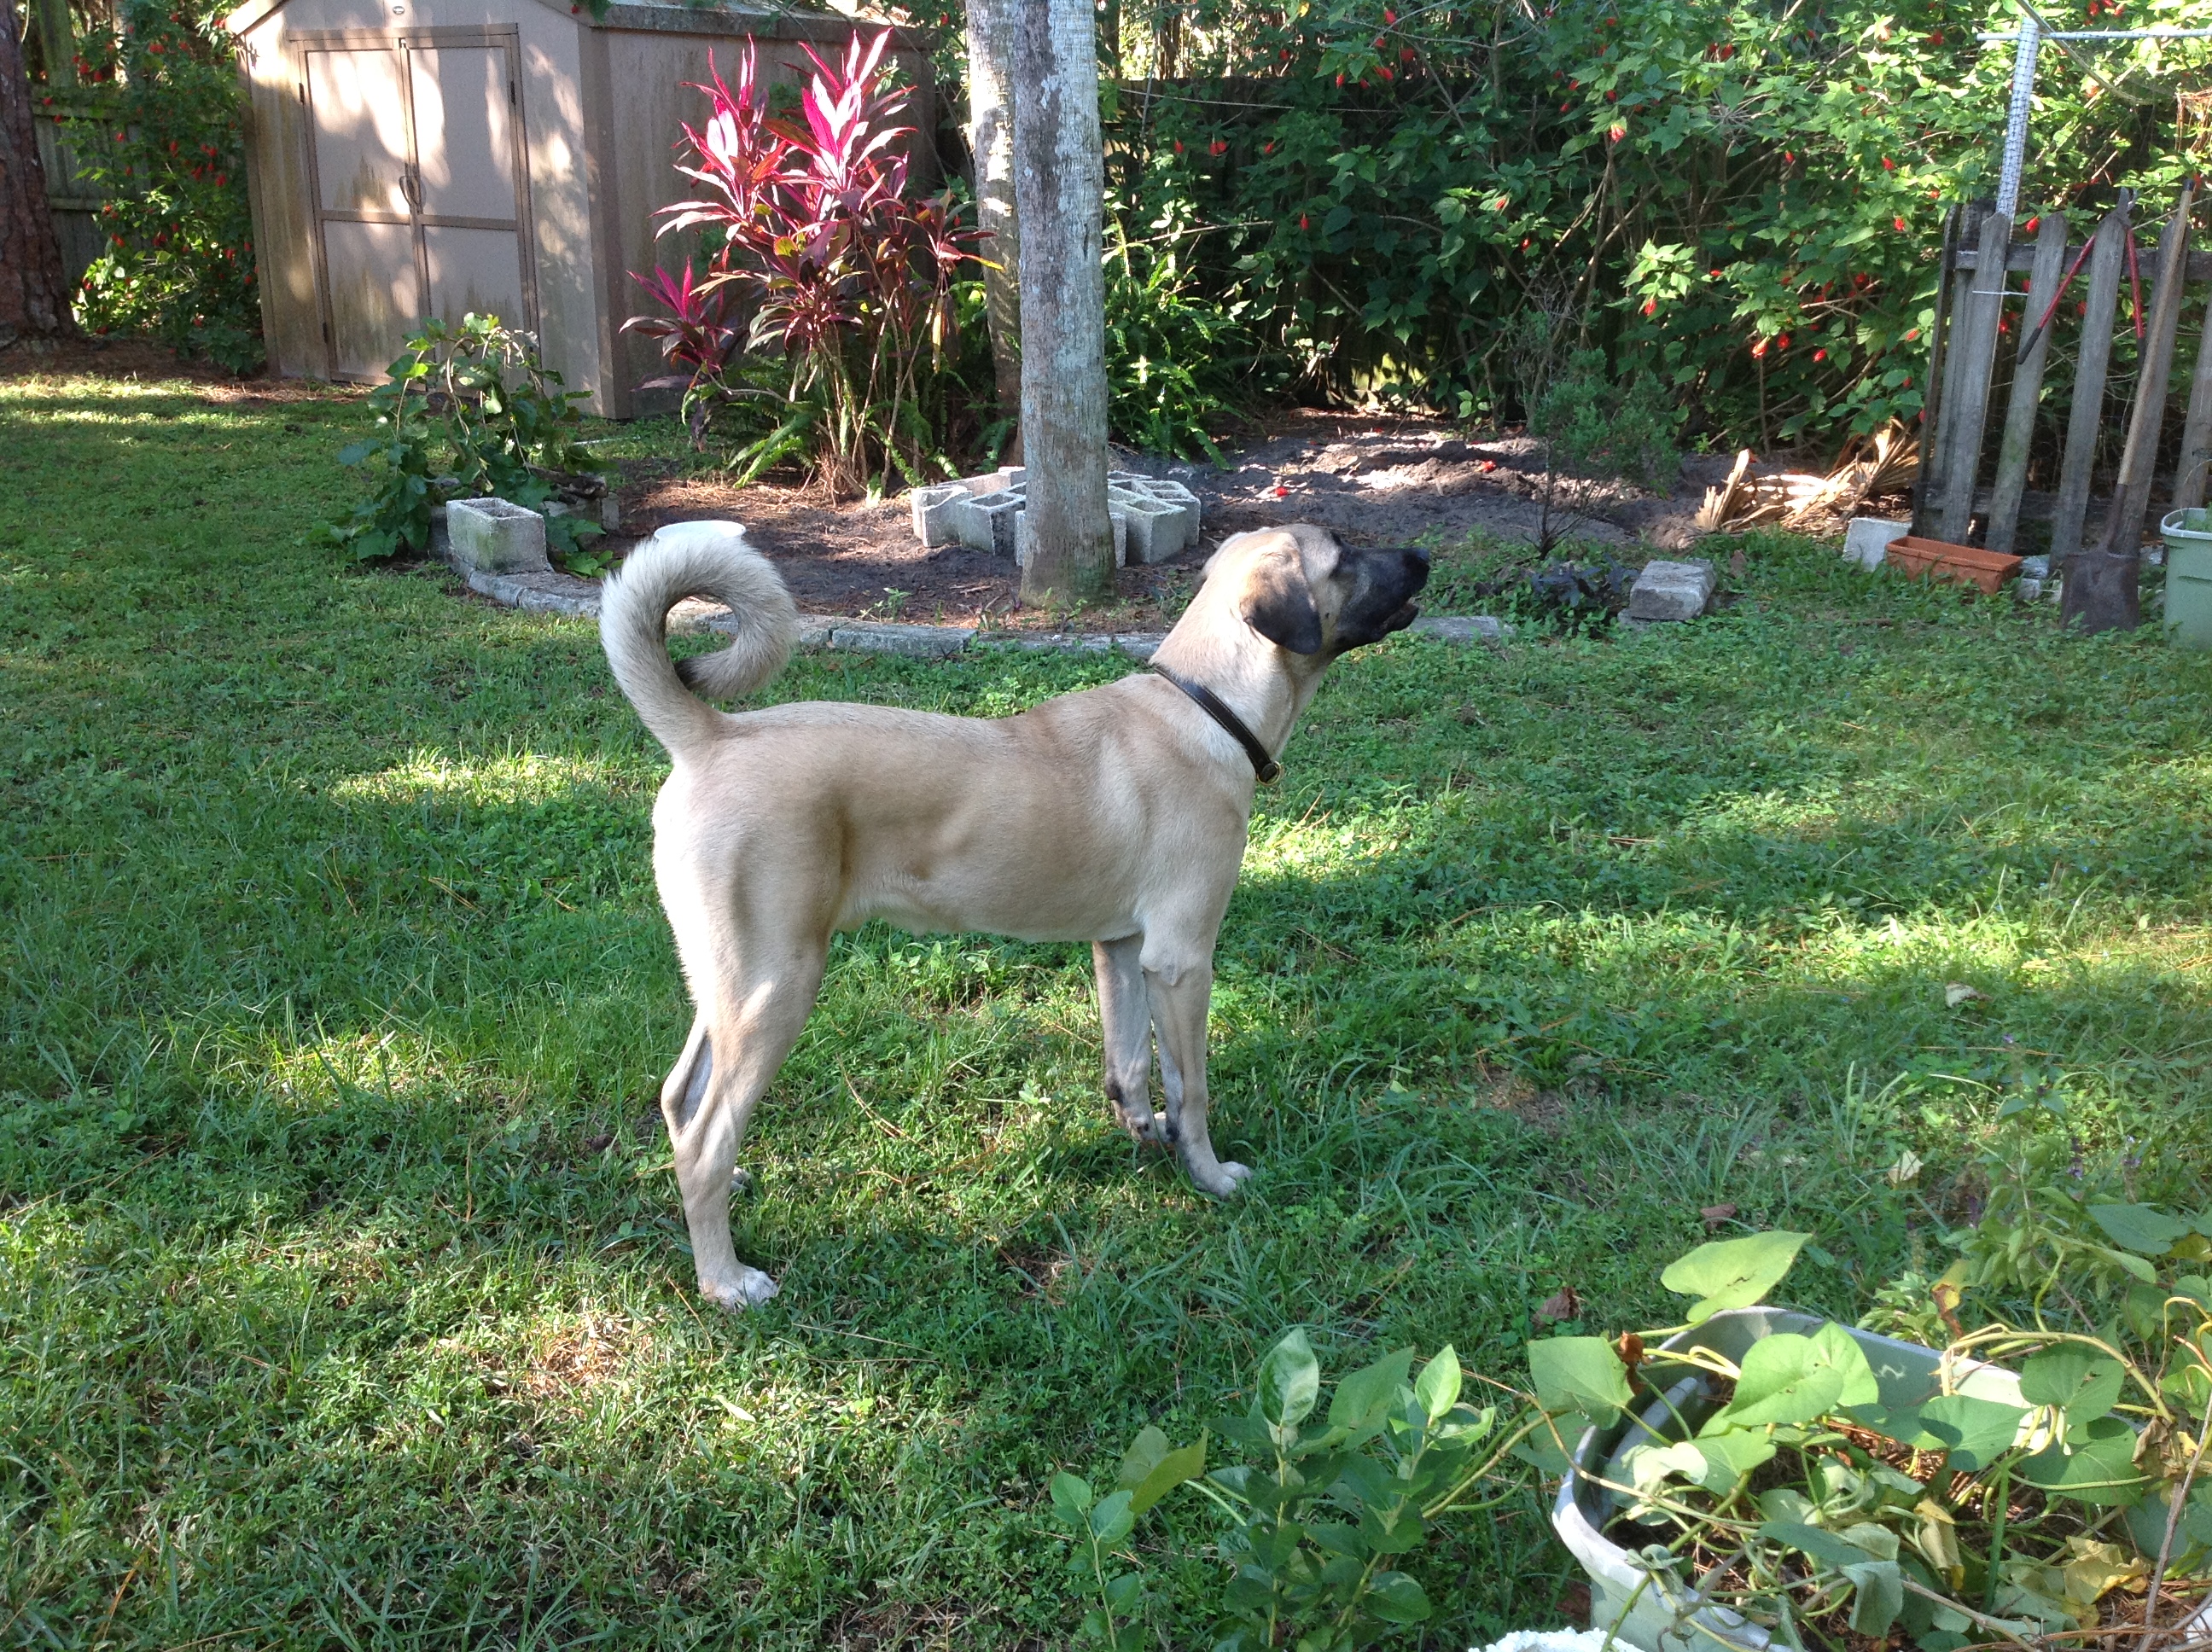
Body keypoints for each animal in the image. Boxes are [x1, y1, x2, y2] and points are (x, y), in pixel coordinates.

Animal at [602, 524, 1433, 1309]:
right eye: (1344, 554)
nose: (1423, 557)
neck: (1207, 703)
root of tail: (711, 737)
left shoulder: (1122, 946)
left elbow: (1129, 1063)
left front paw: (1145, 1137)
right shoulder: (1182, 959)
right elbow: (1189, 1086)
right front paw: (1211, 1174)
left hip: (729, 983)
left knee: (682, 1100)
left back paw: (728, 1189)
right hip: (777, 986)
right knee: (706, 1136)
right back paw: (725, 1278)